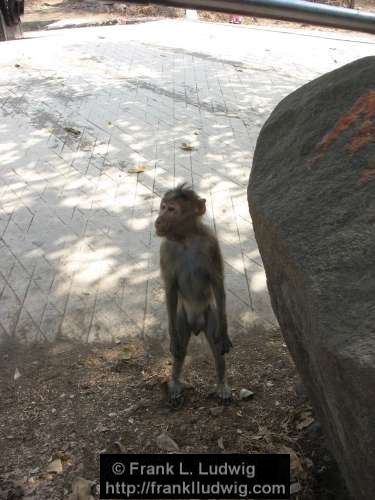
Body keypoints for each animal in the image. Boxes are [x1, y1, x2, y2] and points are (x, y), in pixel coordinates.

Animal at [155, 182, 232, 408]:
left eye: (172, 209)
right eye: (163, 207)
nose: (158, 220)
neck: (186, 239)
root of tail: (196, 324)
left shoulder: (211, 243)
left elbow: (218, 283)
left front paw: (225, 332)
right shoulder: (166, 249)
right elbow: (170, 288)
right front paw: (173, 339)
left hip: (210, 315)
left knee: (216, 347)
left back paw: (221, 384)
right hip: (181, 317)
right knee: (180, 349)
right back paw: (175, 383)